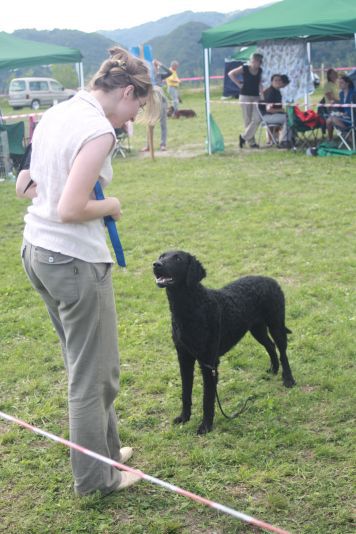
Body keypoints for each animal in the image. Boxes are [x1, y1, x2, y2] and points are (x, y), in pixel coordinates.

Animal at [153, 251, 294, 436]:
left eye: (178, 258)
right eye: (162, 256)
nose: (156, 264)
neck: (192, 307)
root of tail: (271, 280)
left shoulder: (209, 363)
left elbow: (207, 399)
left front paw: (206, 426)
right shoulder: (184, 358)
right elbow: (185, 392)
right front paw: (184, 417)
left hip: (276, 324)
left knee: (283, 352)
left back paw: (288, 379)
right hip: (257, 328)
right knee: (270, 346)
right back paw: (273, 369)